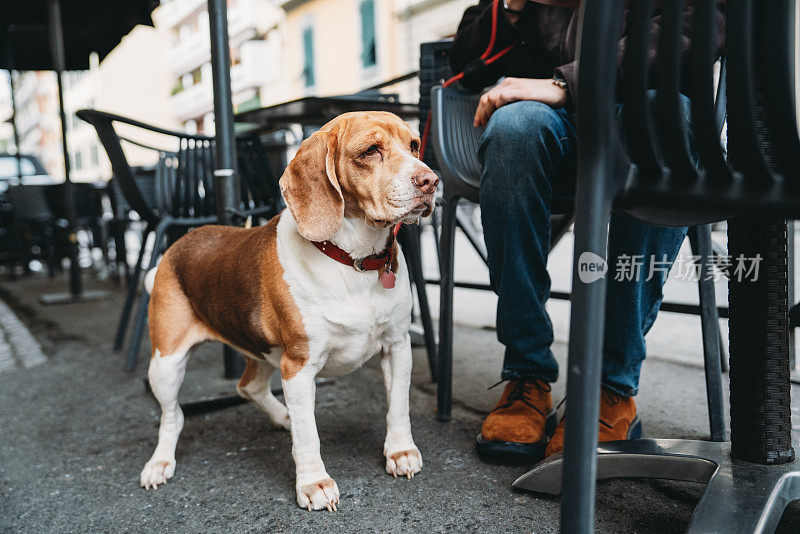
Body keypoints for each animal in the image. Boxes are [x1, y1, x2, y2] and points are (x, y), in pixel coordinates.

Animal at [138, 111, 438, 512]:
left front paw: (400, 451)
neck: (353, 261)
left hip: (262, 351)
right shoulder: (298, 367)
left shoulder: (398, 346)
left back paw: (282, 416)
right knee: (172, 416)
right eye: (371, 151)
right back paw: (160, 462)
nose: (431, 181)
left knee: (248, 386)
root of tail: (175, 248)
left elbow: (398, 407)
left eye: (414, 145)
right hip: (166, 364)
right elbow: (308, 435)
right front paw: (313, 483)